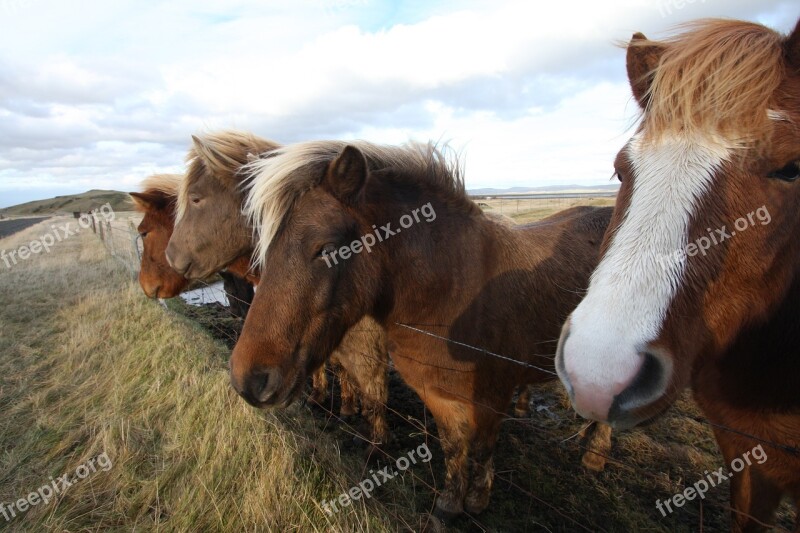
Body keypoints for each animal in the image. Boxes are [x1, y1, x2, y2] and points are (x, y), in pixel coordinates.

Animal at [164, 131, 390, 442]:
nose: (170, 255)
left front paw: (371, 434)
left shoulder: (364, 342)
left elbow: (372, 390)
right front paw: (332, 400)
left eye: (195, 198)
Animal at [228, 138, 616, 524]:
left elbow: (482, 449)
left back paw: (594, 456)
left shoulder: (493, 398)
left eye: (326, 249)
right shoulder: (439, 395)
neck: (454, 294)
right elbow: (454, 446)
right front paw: (449, 504)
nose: (249, 380)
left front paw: (477, 500)